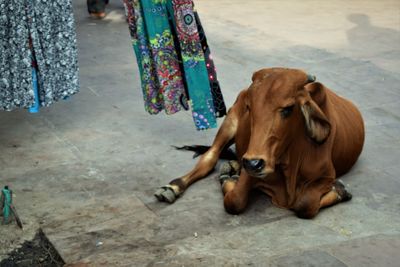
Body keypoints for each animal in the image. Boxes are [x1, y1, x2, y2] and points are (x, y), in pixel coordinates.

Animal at [155, 67, 364, 220]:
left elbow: (305, 204)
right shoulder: (250, 167)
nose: (254, 163)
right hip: (230, 123)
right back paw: (172, 188)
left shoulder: (326, 176)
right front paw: (228, 179)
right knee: (209, 158)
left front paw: (340, 190)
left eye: (288, 109)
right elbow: (234, 201)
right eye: (250, 107)